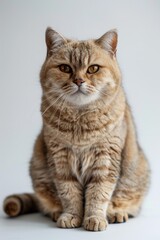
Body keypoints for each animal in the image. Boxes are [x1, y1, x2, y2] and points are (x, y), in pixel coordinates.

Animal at [2, 27, 150, 232]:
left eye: (93, 68)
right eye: (65, 68)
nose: (79, 80)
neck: (80, 120)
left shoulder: (105, 158)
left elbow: (98, 194)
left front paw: (95, 218)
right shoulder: (60, 159)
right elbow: (69, 192)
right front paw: (71, 216)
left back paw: (116, 213)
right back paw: (56, 212)